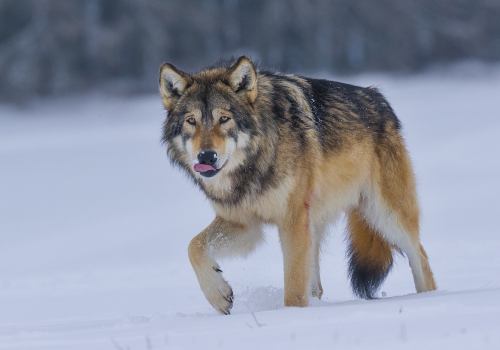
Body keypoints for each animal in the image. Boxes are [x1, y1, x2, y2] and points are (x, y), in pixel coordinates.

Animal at [158, 55, 436, 314]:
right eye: (191, 121)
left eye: (224, 119)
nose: (206, 157)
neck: (256, 162)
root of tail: (377, 95)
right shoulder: (244, 223)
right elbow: (193, 246)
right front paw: (218, 295)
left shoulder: (291, 220)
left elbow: (293, 289)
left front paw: (291, 316)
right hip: (317, 225)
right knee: (316, 287)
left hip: (384, 215)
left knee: (420, 257)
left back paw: (428, 299)